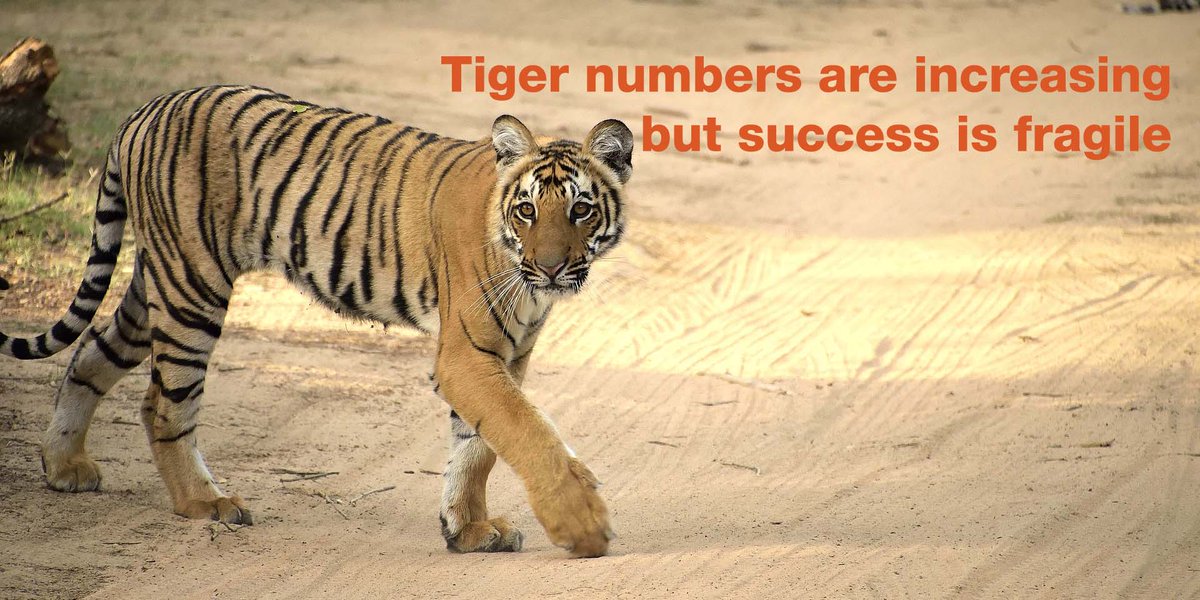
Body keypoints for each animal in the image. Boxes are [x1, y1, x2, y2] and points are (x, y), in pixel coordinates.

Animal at [0, 85, 632, 558]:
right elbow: (527, 433)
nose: (550, 268)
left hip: (156, 283)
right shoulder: (468, 356)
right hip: (191, 288)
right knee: (162, 403)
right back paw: (205, 504)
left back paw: (64, 466)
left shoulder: (507, 355)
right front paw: (583, 526)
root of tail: (145, 109)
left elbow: (476, 447)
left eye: (581, 209)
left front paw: (469, 530)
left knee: (89, 356)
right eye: (527, 209)